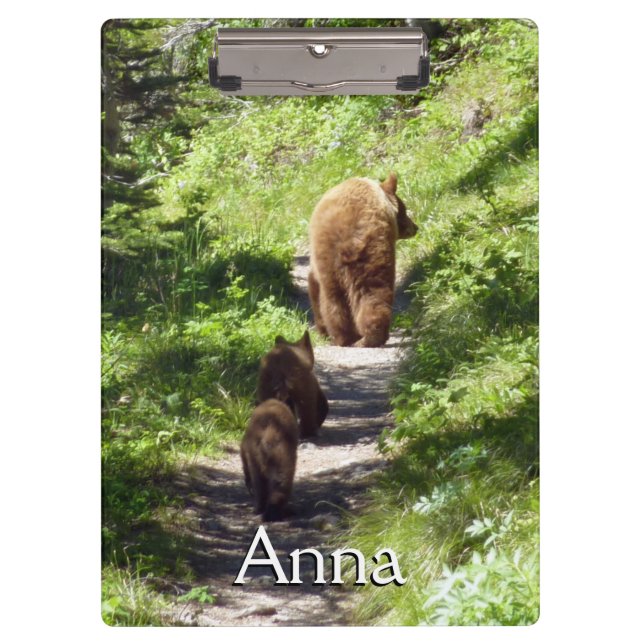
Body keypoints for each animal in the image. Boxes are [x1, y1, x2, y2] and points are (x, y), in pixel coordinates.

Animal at [308, 173, 418, 348]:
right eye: (405, 209)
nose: (415, 227)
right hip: (368, 253)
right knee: (369, 292)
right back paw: (365, 337)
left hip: (339, 258)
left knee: (338, 298)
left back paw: (347, 337)